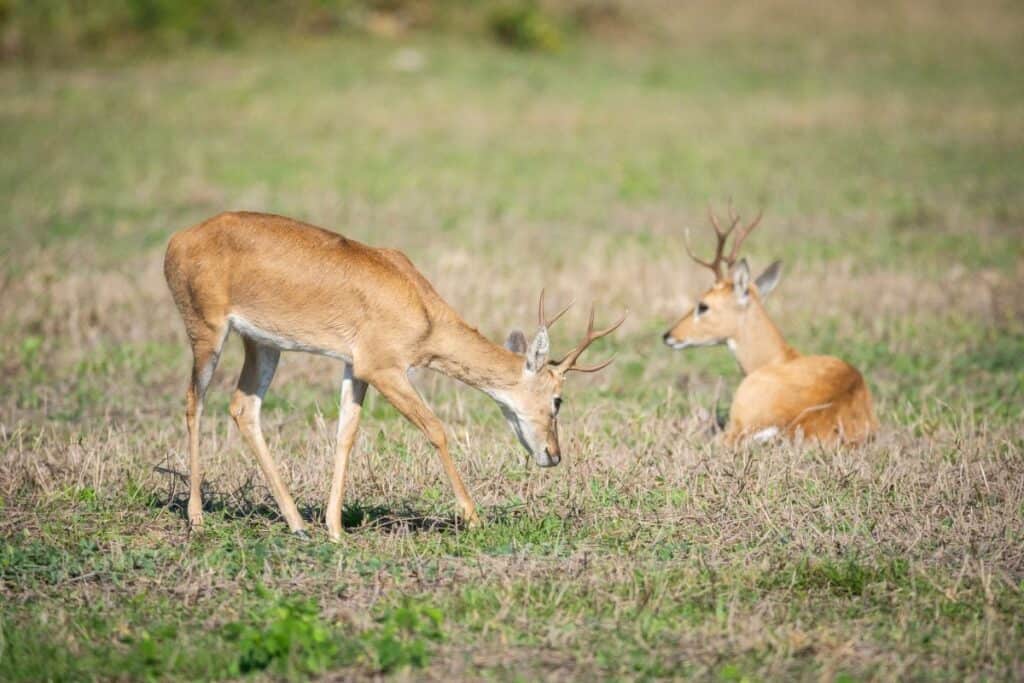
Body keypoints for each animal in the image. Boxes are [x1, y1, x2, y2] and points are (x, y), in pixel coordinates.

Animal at [163, 210, 622, 540]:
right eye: (557, 399)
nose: (553, 455)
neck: (419, 303)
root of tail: (179, 239)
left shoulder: (356, 368)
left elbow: (346, 435)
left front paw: (335, 529)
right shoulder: (385, 370)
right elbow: (436, 429)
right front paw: (474, 518)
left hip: (263, 345)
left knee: (244, 408)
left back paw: (298, 525)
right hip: (208, 335)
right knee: (194, 403)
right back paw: (197, 519)